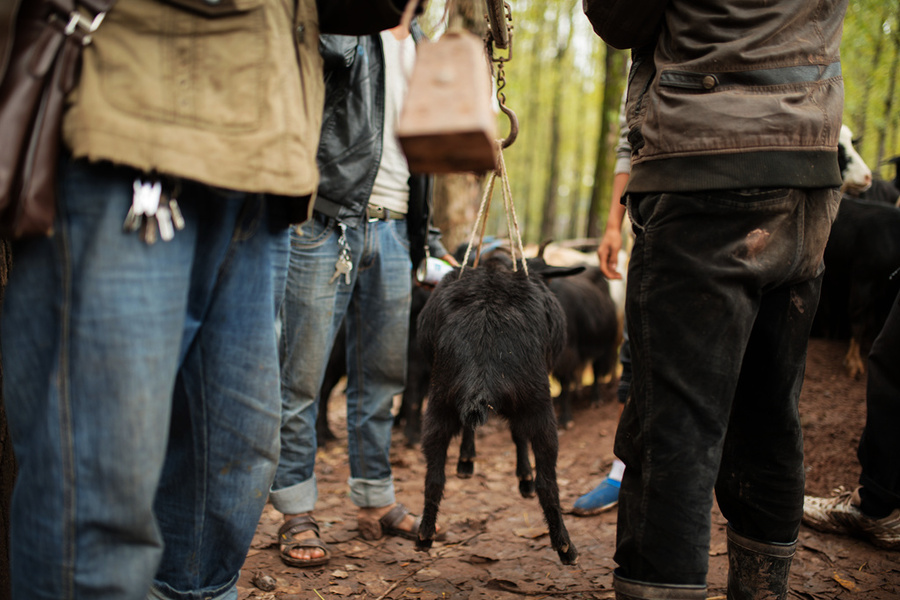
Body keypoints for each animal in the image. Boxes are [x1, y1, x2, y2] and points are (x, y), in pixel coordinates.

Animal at [414, 252, 576, 564]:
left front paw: (466, 460)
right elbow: (517, 437)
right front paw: (523, 476)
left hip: (438, 401)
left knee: (433, 477)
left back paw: (425, 534)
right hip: (539, 403)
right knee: (547, 481)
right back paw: (564, 546)